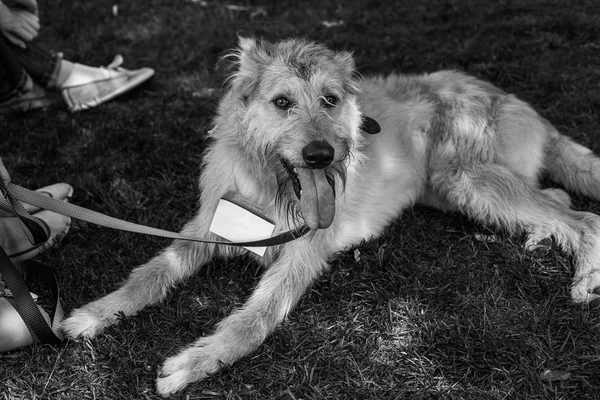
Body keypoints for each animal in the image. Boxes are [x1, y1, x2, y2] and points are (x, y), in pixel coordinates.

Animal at [61, 36, 600, 396]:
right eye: (281, 102)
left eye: (330, 99)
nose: (321, 155)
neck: (271, 191)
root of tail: (515, 101)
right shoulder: (206, 226)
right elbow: (150, 274)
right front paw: (96, 313)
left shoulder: (303, 254)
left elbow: (254, 320)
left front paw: (196, 362)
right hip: (452, 188)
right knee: (558, 197)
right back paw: (540, 234)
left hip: (462, 177)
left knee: (584, 217)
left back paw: (583, 273)